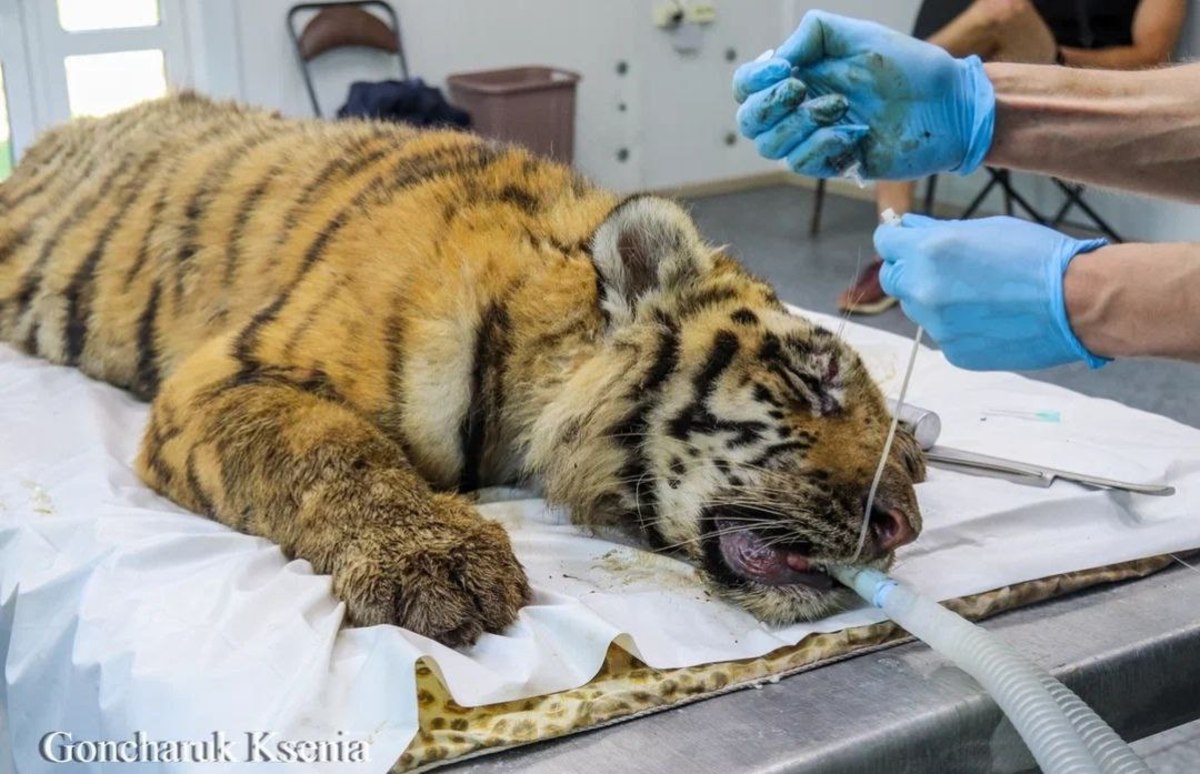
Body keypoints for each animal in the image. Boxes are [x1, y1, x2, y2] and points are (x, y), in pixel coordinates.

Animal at [0, 93, 924, 647]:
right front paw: (436, 563)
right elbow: (334, 452)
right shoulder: (229, 376)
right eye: (812, 380)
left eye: (911, 457)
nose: (904, 529)